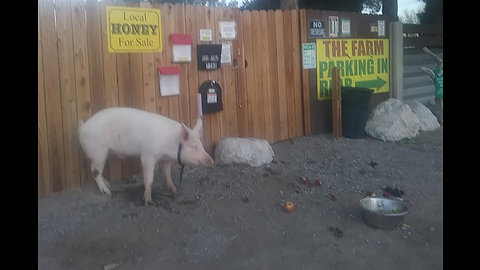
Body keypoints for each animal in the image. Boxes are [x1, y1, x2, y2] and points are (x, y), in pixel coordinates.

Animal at [79, 106, 214, 206]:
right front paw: (148, 201)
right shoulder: (148, 156)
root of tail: (83, 128)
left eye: (201, 145)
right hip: (99, 152)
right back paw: (107, 191)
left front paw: (173, 189)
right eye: (194, 146)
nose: (212, 161)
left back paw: (107, 184)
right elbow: (149, 179)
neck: (170, 143)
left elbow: (167, 173)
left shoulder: (166, 160)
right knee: (94, 170)